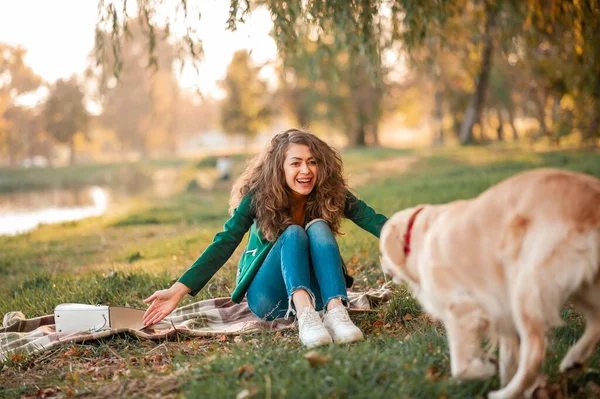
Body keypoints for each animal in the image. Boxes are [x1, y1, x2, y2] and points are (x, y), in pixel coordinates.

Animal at [380, 169, 600, 399]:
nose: (381, 264)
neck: (417, 236)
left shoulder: (463, 312)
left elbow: (460, 367)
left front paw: (485, 368)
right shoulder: (502, 317)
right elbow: (508, 361)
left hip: (526, 286)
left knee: (534, 351)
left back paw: (505, 393)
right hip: (578, 286)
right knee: (596, 320)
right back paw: (573, 360)